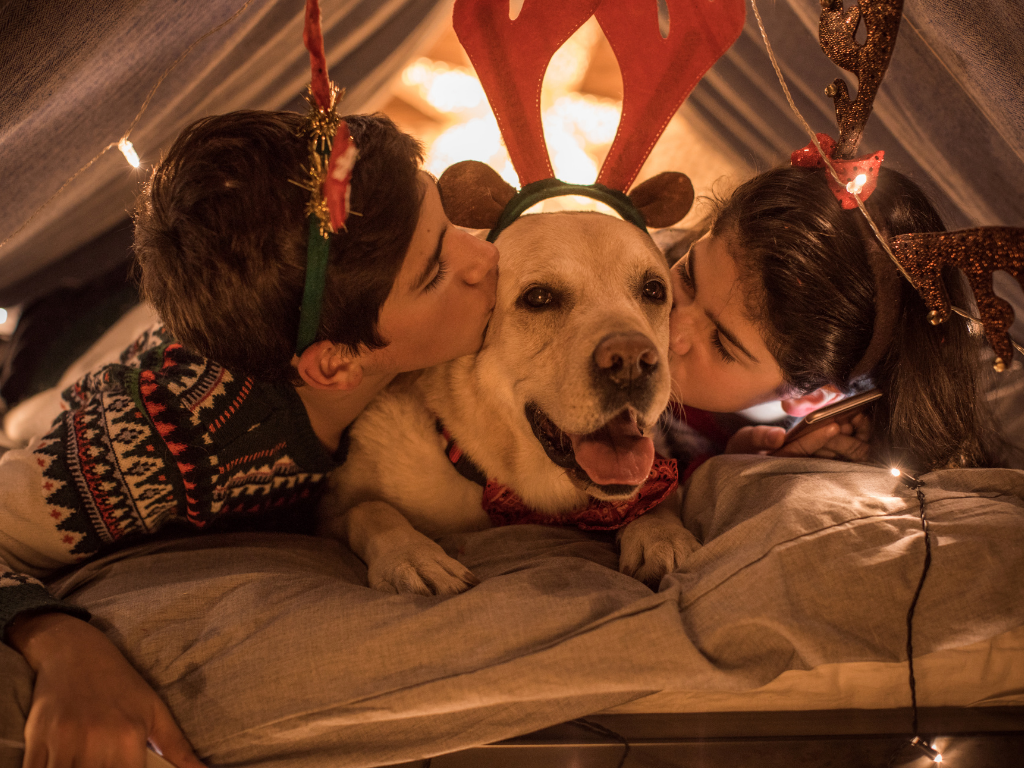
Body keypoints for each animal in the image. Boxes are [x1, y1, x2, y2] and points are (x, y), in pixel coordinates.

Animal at [323, 163, 700, 593]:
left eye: (654, 290)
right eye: (538, 298)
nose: (634, 361)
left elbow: (658, 497)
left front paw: (662, 535)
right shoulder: (332, 508)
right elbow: (369, 508)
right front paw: (412, 557)